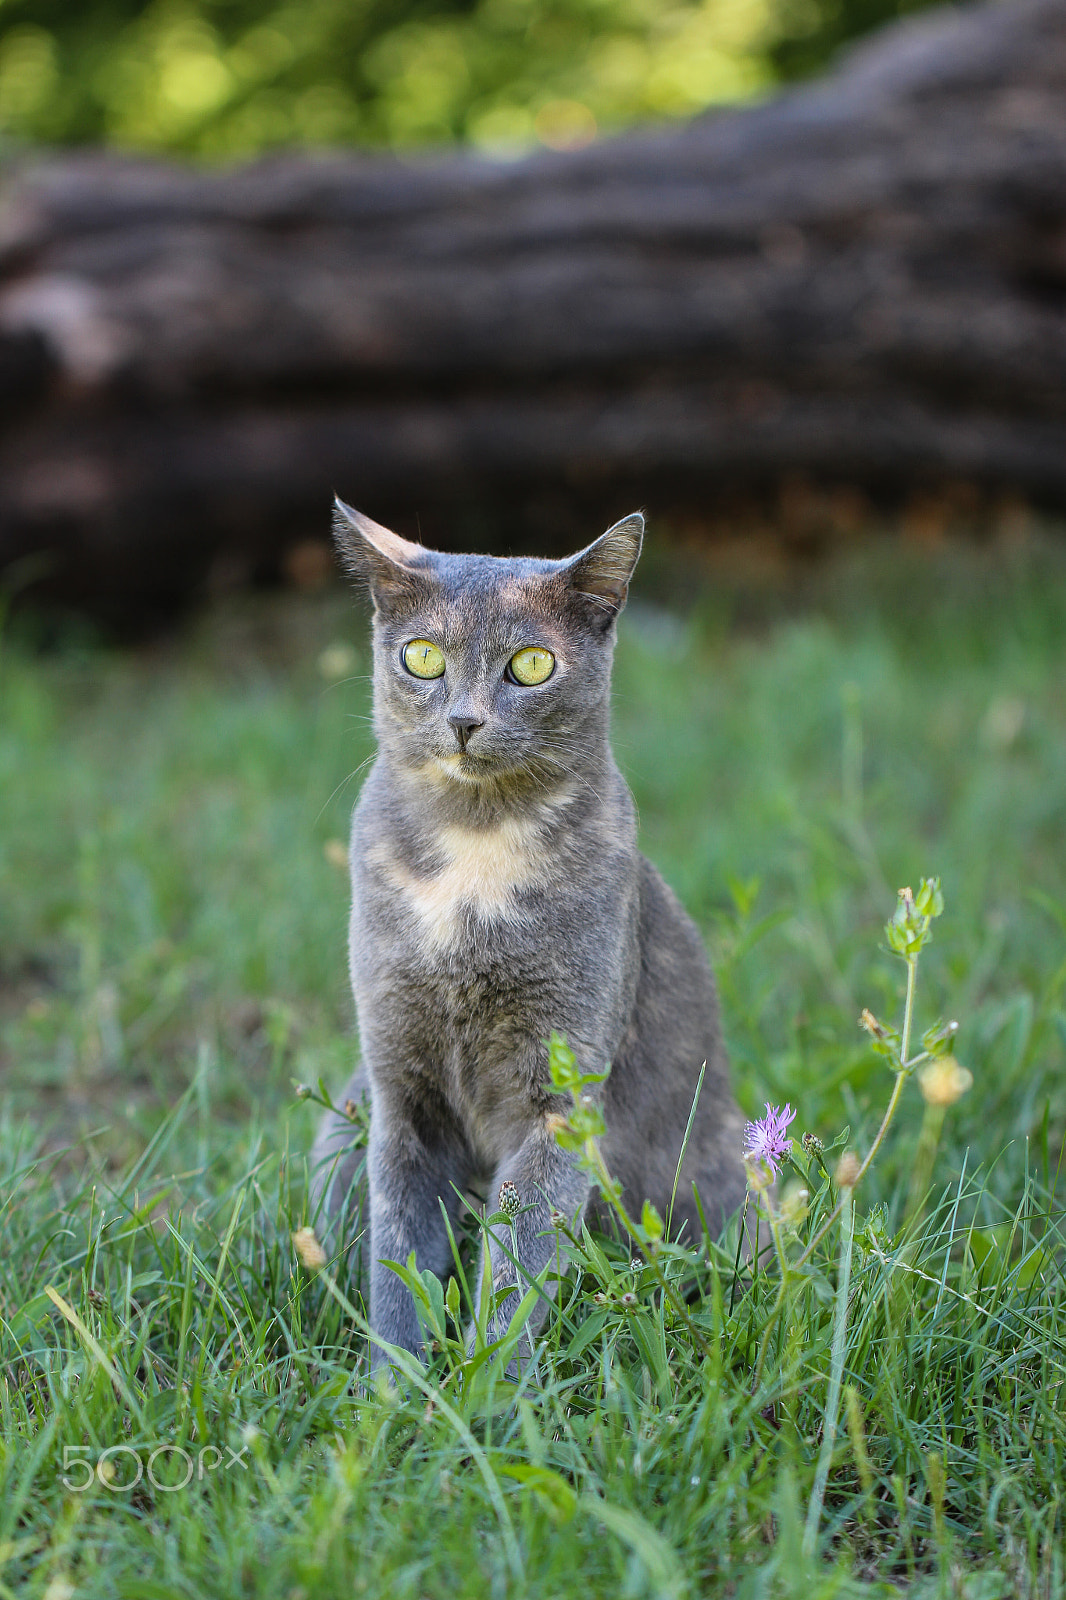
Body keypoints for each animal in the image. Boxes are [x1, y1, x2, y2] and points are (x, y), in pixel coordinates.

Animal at [312, 502, 742, 1376]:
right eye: (422, 657)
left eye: (533, 665)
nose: (464, 720)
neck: (475, 855)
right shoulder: (401, 1093)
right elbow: (397, 1253)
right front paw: (395, 1385)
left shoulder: (561, 1096)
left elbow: (520, 1260)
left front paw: (489, 1387)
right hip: (338, 1126)